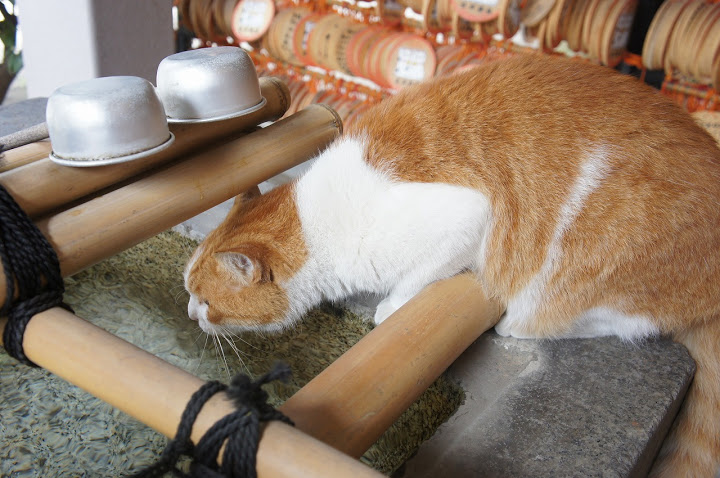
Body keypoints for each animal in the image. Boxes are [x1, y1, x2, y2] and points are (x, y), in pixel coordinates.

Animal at [187, 55, 720, 474]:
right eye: (190, 294)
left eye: (205, 301)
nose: (191, 314)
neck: (316, 218)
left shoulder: (464, 216)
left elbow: (412, 283)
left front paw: (389, 309)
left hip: (570, 275)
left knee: (614, 321)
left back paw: (517, 322)